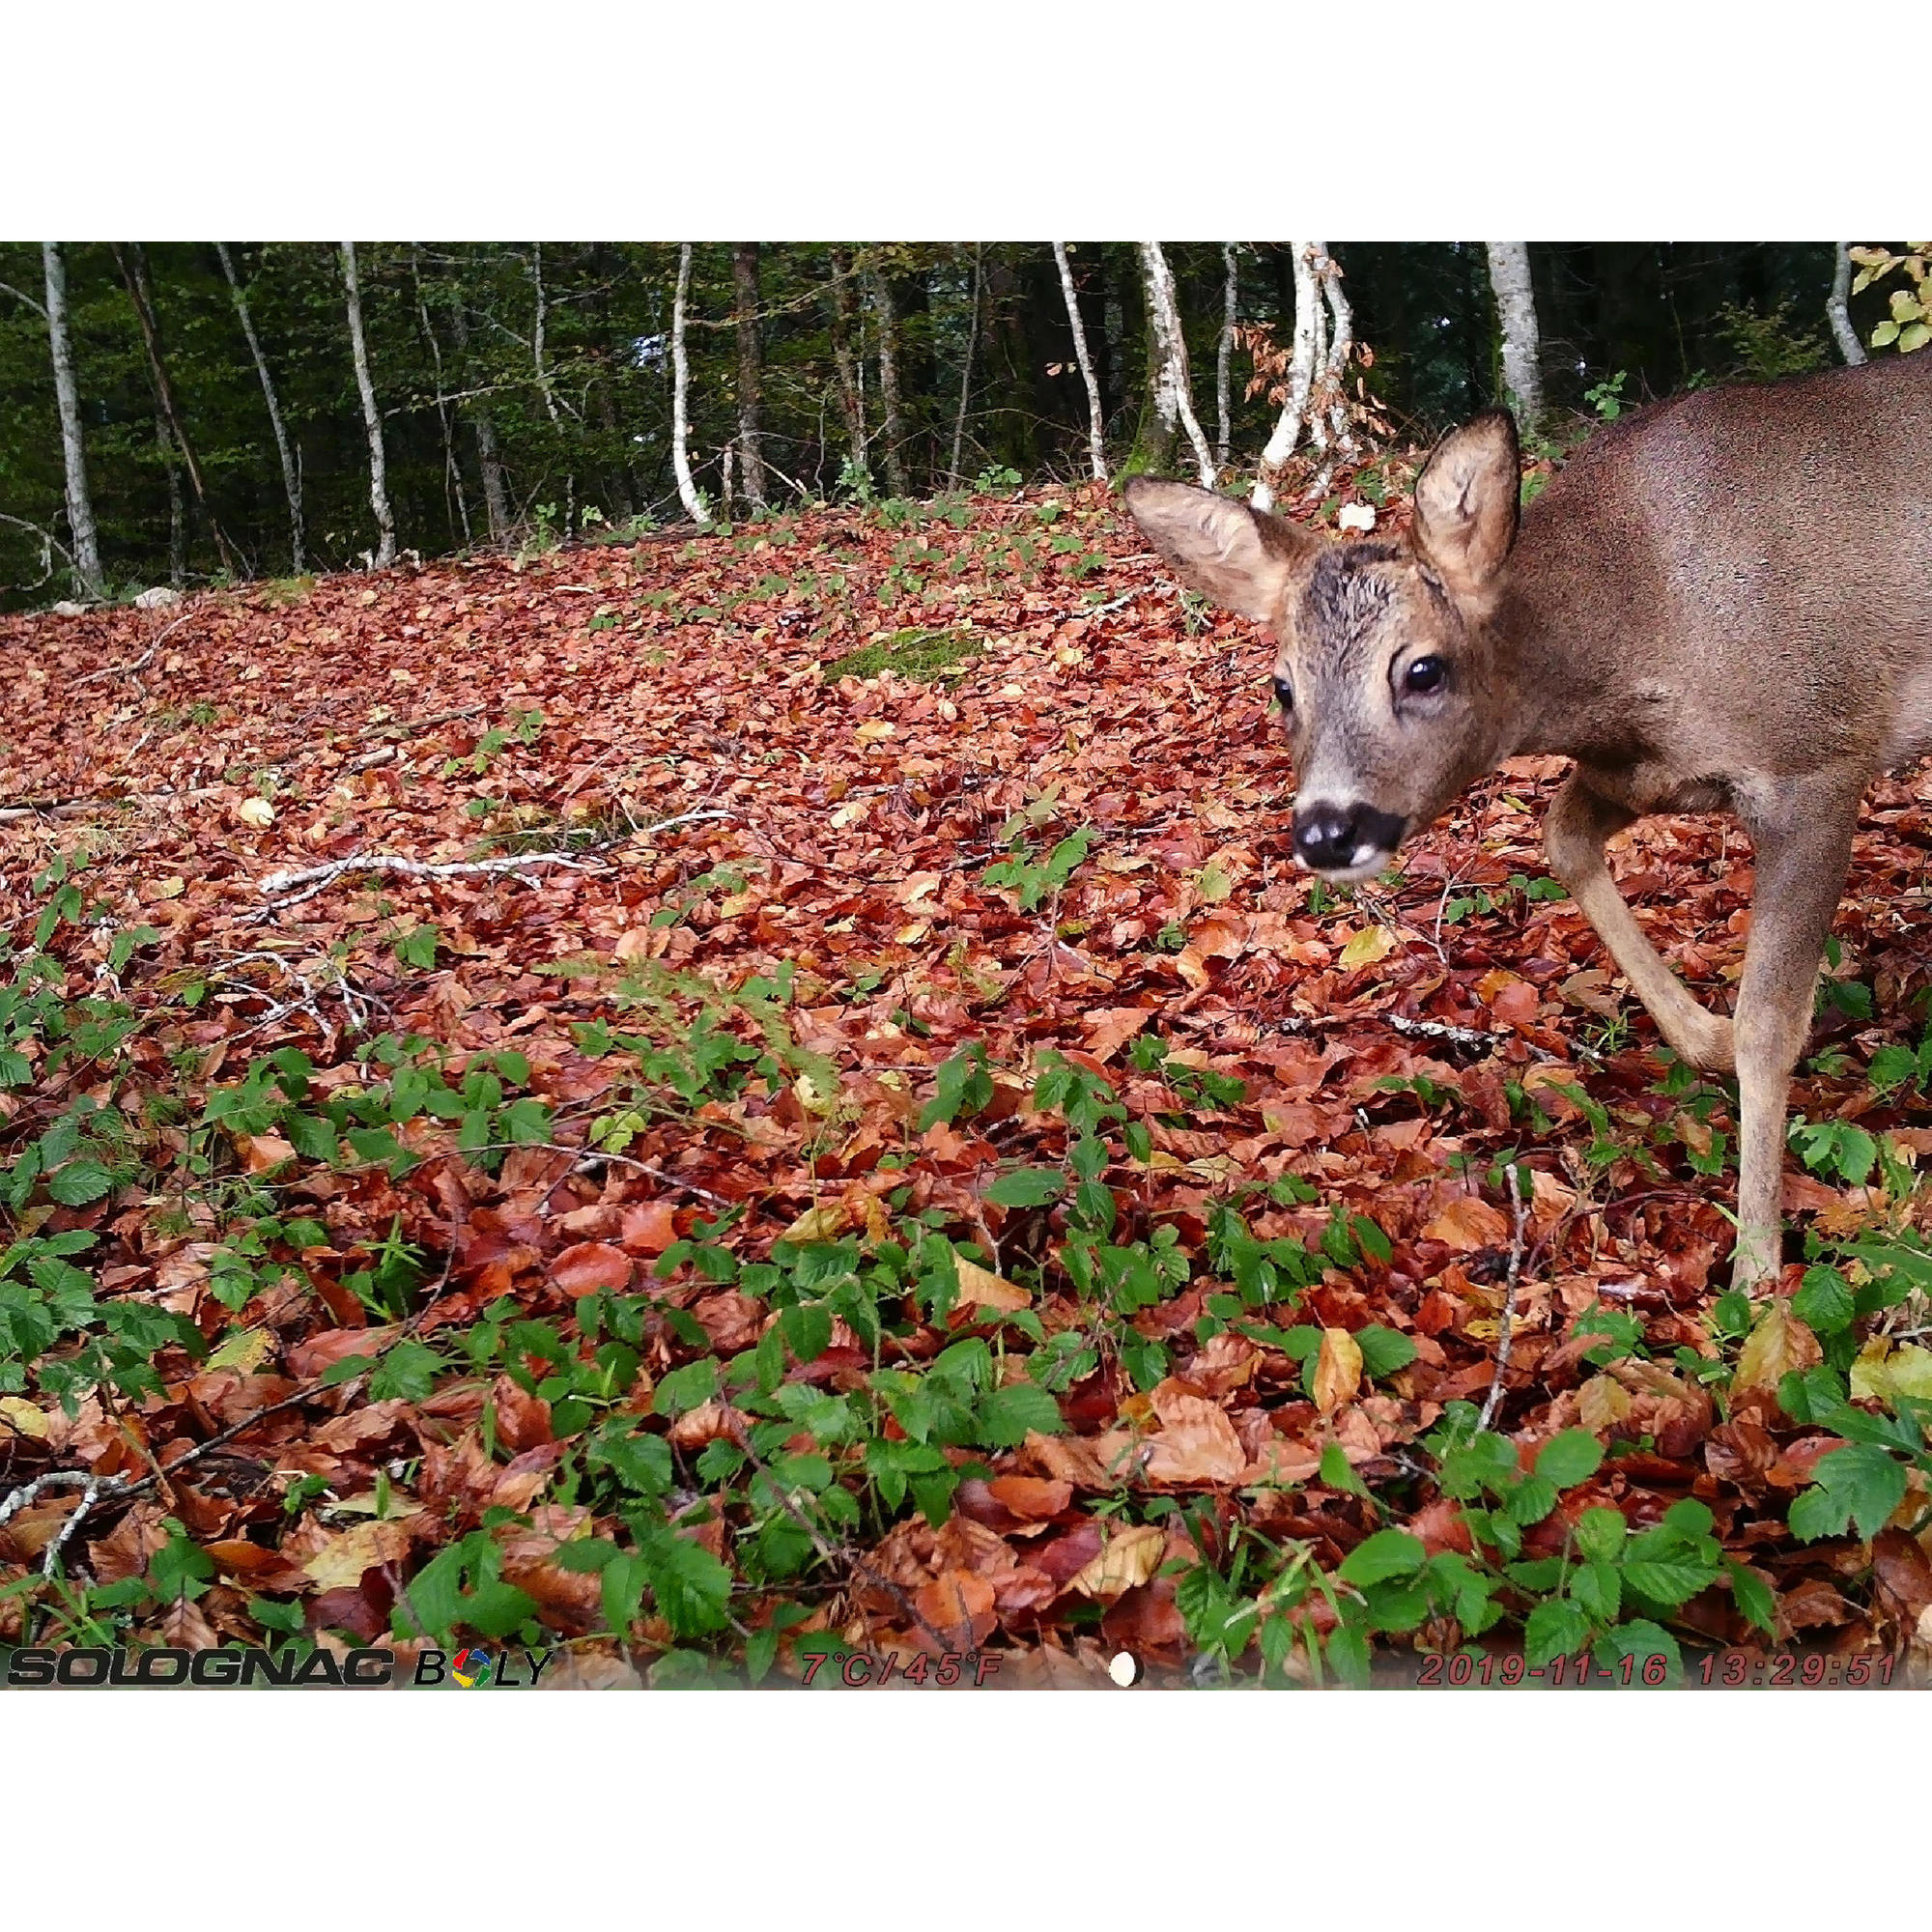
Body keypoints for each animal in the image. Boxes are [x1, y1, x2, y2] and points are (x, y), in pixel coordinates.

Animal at [1128, 359, 1932, 1298]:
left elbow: (1771, 1028)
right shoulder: (1640, 771)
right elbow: (1562, 837)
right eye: (1283, 687)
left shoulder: (1815, 760)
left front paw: (1757, 1270)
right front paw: (1702, 1034)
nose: (1328, 830)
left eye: (1424, 670)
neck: (1638, 634)